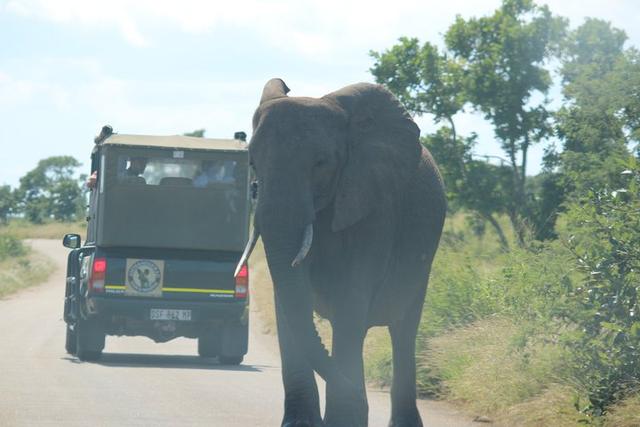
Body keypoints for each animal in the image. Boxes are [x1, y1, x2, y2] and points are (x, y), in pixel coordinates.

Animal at [235, 78, 444, 426]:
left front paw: (345, 419)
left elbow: (351, 296)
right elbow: (288, 299)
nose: (362, 398)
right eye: (252, 163)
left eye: (321, 163)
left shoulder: (375, 207)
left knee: (402, 331)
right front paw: (302, 424)